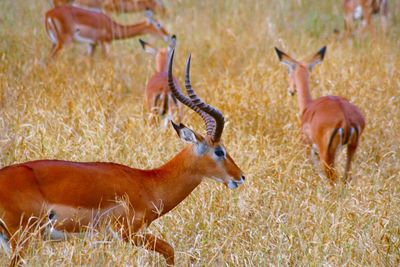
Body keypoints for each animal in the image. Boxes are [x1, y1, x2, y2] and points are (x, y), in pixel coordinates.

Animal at [0, 47, 244, 266]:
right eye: (219, 150)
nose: (240, 177)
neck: (148, 183)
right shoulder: (128, 233)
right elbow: (169, 250)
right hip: (23, 239)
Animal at [276, 46, 366, 184]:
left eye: (288, 71)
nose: (290, 90)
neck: (307, 106)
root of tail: (346, 118)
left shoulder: (308, 147)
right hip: (351, 148)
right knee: (346, 177)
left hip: (326, 154)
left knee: (333, 180)